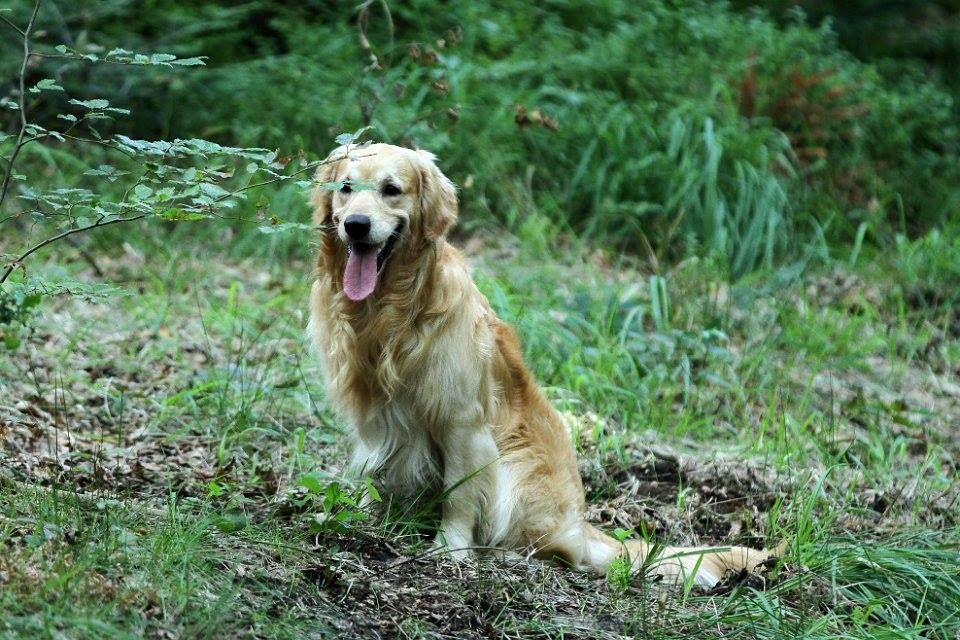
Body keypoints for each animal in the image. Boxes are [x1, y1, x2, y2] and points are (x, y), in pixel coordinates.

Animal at [312, 144, 776, 584]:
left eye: (391, 189)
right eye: (345, 189)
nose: (355, 225)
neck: (391, 311)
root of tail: (582, 525)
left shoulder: (463, 422)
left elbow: (460, 494)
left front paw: (451, 549)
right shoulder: (374, 418)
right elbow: (374, 473)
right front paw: (360, 519)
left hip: (520, 469)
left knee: (554, 549)